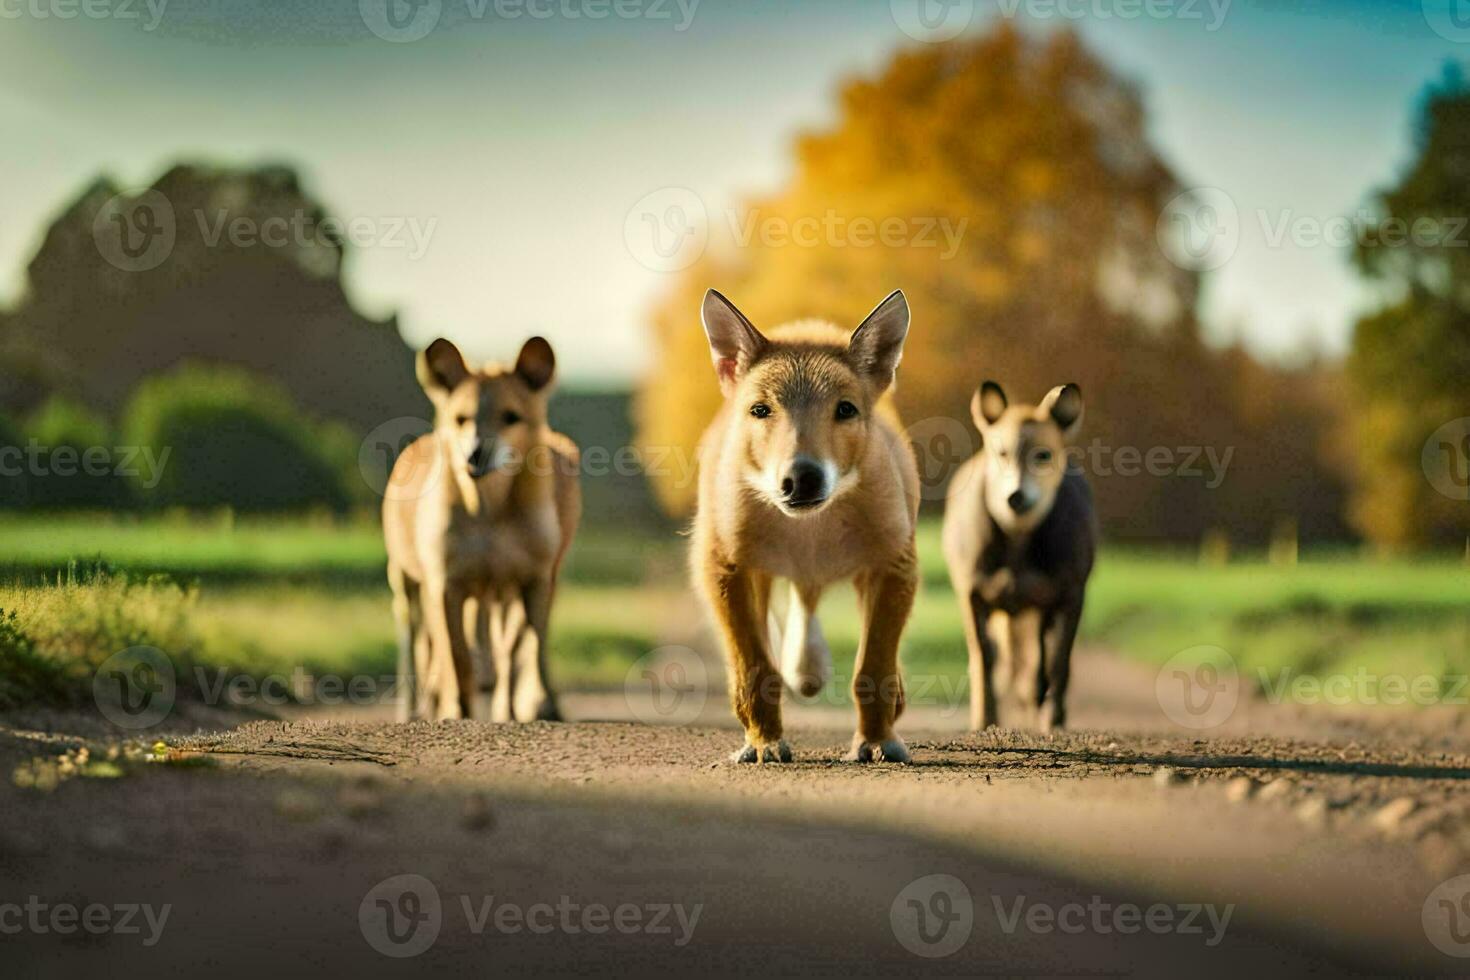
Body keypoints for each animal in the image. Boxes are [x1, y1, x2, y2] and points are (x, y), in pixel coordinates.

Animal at [385, 334, 579, 719]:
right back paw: (416, 708)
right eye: (461, 418)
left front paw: (528, 708)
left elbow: (525, 646)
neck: (491, 512)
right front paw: (457, 710)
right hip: (403, 579)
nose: (475, 454)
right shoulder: (445, 585)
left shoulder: (535, 580)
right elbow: (456, 656)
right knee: (415, 641)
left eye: (511, 417)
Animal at [690, 287, 917, 764]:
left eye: (845, 409)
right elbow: (755, 669)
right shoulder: (725, 566)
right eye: (760, 409)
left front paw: (876, 740)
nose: (801, 477)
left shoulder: (893, 563)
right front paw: (763, 743)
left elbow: (874, 669)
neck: (810, 533)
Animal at [940, 379, 1093, 731]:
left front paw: (1053, 718)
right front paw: (984, 719)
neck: (1018, 547)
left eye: (1043, 454)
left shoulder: (1071, 589)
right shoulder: (972, 589)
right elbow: (983, 655)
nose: (1016, 495)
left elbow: (1059, 659)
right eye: (1001, 452)